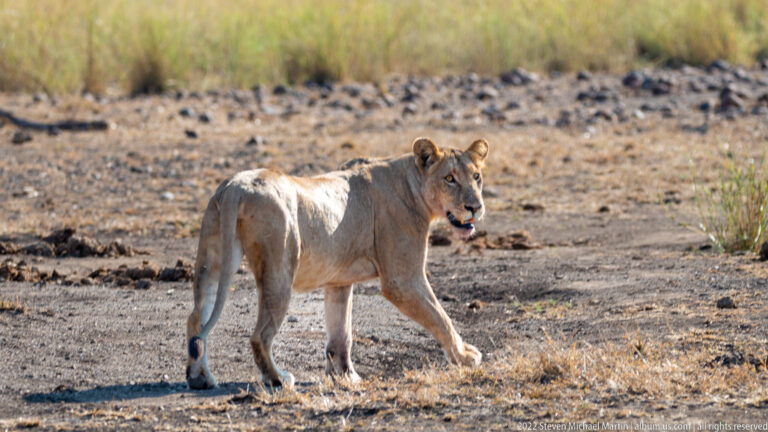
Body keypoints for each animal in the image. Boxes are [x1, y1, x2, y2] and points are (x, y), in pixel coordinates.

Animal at [185, 137, 489, 389]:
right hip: (279, 266)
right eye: (449, 178)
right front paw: (466, 356)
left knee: (196, 318)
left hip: (211, 257)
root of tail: (237, 186)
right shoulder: (402, 280)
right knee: (260, 335)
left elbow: (341, 331)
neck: (412, 184)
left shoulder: (339, 280)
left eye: (476, 176)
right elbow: (440, 317)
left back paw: (200, 378)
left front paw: (345, 375)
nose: (475, 207)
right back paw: (278, 379)